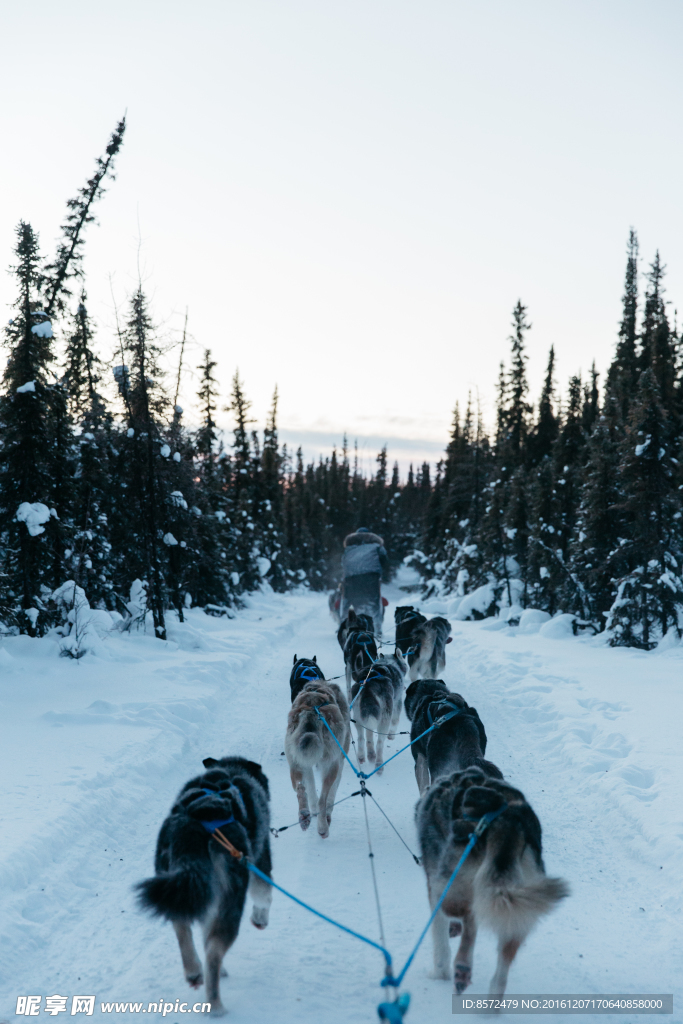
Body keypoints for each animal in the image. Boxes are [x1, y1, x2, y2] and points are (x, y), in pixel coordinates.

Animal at [135, 753, 270, 1015]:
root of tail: (195, 822)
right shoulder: (260, 861)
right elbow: (264, 895)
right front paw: (260, 919)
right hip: (230, 901)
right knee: (214, 951)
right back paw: (216, 1006)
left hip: (180, 888)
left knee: (182, 928)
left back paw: (194, 971)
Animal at [282, 675, 350, 835]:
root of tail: (311, 709)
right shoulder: (339, 762)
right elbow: (331, 796)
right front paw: (327, 816)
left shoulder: (306, 764)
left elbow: (311, 789)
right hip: (331, 765)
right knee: (322, 800)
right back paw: (323, 828)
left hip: (295, 762)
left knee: (301, 789)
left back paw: (304, 815)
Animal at [417, 770, 573, 999]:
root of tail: (507, 821)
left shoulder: (434, 890)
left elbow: (440, 942)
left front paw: (439, 973)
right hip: (518, 907)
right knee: (500, 973)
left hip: (450, 889)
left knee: (469, 917)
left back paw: (462, 967)